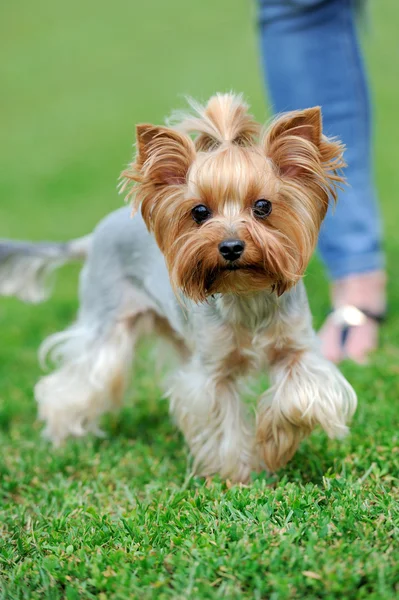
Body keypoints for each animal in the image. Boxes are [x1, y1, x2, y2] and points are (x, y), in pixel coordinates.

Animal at [0, 94, 356, 482]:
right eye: (199, 212)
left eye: (263, 206)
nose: (231, 247)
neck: (246, 292)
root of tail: (94, 236)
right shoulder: (212, 372)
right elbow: (222, 422)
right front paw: (236, 477)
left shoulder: (297, 348)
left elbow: (302, 396)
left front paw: (276, 444)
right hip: (108, 319)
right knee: (78, 379)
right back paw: (63, 436)